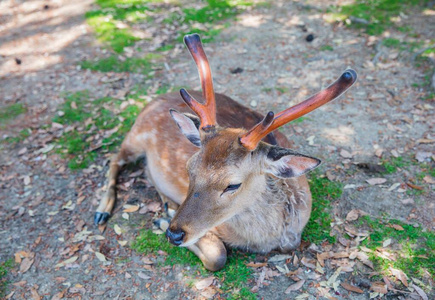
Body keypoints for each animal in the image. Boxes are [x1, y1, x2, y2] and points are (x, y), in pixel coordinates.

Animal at [94, 33, 358, 272]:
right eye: (189, 169)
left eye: (232, 185)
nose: (174, 234)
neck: (270, 237)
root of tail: (155, 98)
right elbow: (217, 257)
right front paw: (162, 218)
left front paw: (164, 214)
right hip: (135, 135)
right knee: (114, 158)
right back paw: (102, 212)